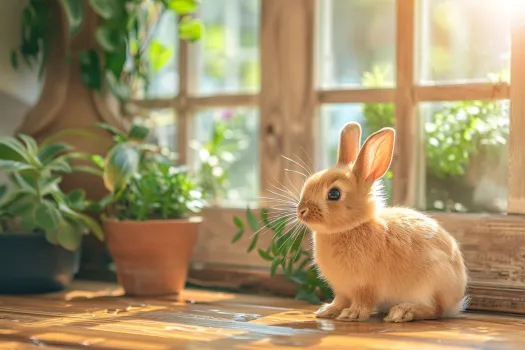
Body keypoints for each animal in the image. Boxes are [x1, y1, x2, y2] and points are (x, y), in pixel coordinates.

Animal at [296, 123, 468, 322]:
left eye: (334, 194)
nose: (301, 211)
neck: (352, 227)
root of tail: (455, 302)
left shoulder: (365, 285)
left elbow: (363, 301)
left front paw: (352, 314)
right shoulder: (342, 290)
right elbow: (340, 300)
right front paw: (327, 310)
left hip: (431, 281)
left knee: (435, 310)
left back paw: (402, 312)